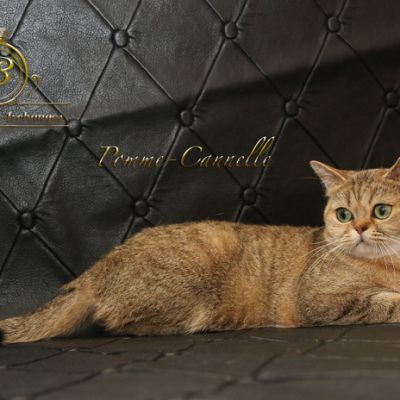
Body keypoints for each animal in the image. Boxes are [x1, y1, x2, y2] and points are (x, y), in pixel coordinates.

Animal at [1, 158, 400, 345]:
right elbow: (384, 303)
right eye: (343, 214)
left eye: (382, 210)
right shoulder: (318, 300)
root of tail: (96, 270)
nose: (358, 228)